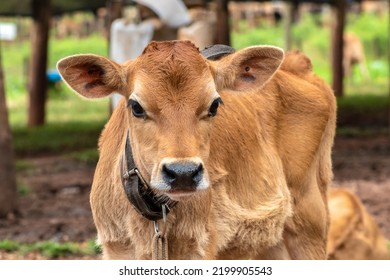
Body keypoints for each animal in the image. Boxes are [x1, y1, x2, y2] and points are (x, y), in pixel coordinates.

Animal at [56, 40, 336, 260]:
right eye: (136, 106)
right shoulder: (116, 248)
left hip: (310, 218)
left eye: (214, 105)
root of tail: (298, 65)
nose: (182, 173)